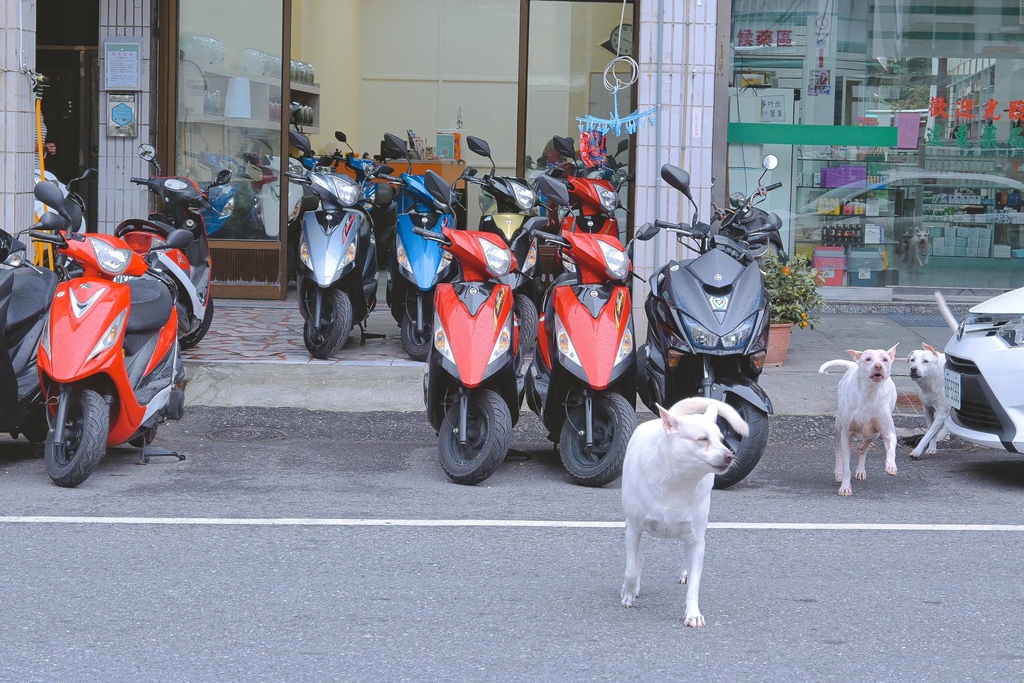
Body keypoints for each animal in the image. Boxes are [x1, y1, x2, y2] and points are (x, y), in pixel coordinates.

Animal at [618, 397, 749, 626]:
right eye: (702, 439)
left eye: (722, 439)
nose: (730, 456)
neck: (678, 479)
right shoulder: (633, 528)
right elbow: (631, 569)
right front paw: (629, 593)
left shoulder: (697, 539)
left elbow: (695, 584)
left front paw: (693, 614)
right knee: (637, 560)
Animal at [815, 344, 897, 493]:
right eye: (868, 359)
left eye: (885, 359)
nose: (878, 366)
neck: (869, 393)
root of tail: (854, 364)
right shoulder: (846, 433)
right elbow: (846, 463)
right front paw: (845, 487)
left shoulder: (887, 432)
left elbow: (891, 447)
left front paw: (891, 466)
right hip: (839, 427)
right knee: (838, 449)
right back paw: (838, 472)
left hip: (874, 434)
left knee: (862, 449)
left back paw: (860, 471)